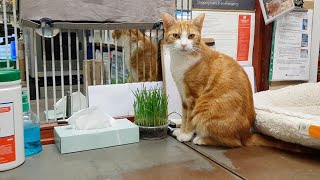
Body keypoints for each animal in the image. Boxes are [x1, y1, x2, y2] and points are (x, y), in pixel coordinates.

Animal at [162, 12, 316, 153]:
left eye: (191, 36)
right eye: (176, 36)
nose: (183, 45)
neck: (181, 61)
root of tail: (246, 134)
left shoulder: (192, 96)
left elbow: (189, 118)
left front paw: (186, 134)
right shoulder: (183, 95)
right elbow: (184, 115)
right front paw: (181, 130)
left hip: (205, 108)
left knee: (235, 143)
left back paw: (202, 139)